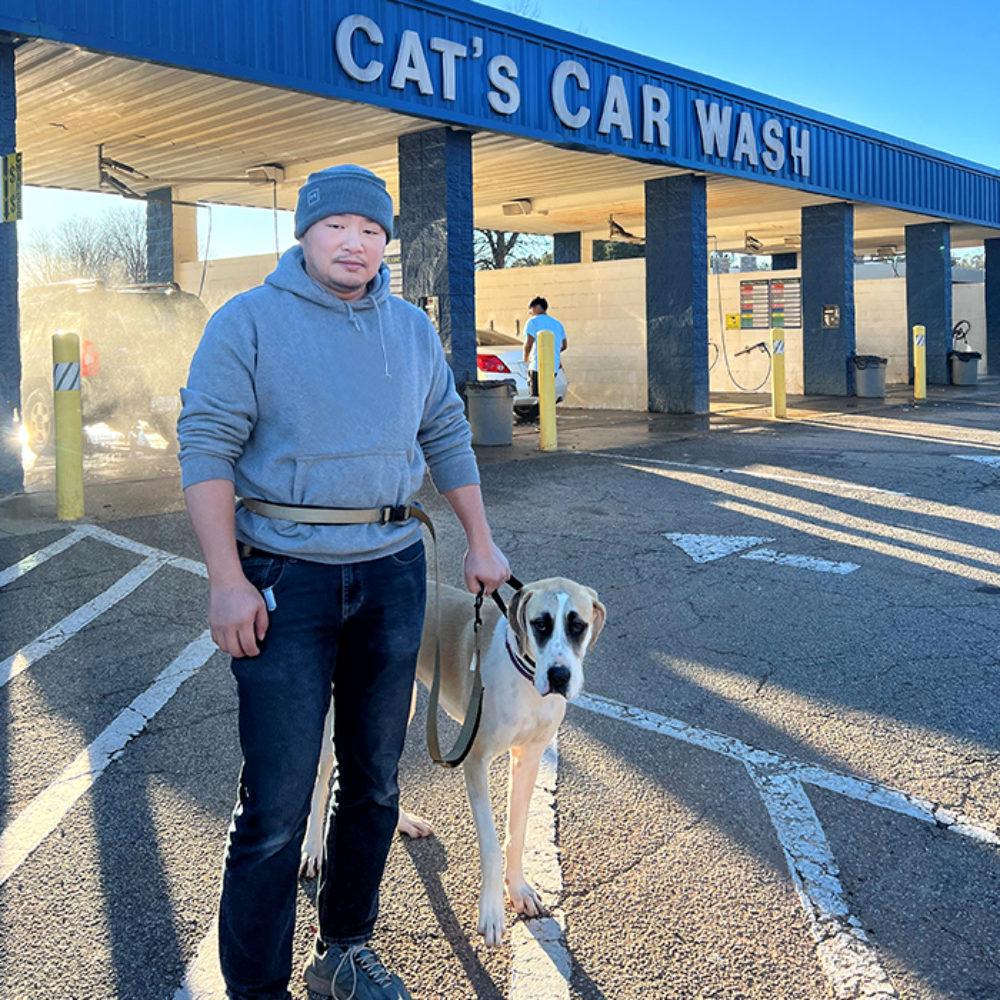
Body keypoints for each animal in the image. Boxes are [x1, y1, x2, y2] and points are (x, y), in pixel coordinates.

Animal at [300, 580, 604, 944]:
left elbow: (517, 833)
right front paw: (491, 912)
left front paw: (518, 889)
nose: (559, 675)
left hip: (397, 707)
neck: (525, 678)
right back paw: (312, 848)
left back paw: (404, 822)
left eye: (578, 625)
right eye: (540, 624)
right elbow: (491, 846)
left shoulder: (529, 759)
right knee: (321, 778)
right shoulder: (475, 761)